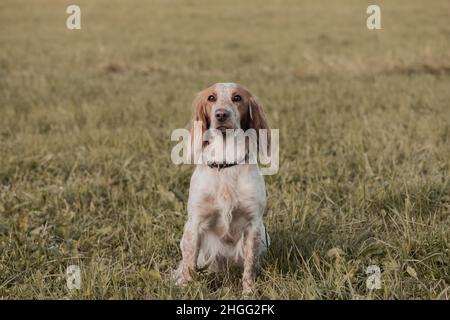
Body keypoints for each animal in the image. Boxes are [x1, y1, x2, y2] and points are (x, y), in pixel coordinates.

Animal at [173, 82, 270, 296]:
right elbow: (189, 265)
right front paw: (185, 288)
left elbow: (249, 267)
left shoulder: (253, 225)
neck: (225, 161)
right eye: (211, 98)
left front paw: (248, 292)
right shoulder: (195, 224)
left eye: (237, 98)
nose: (221, 114)